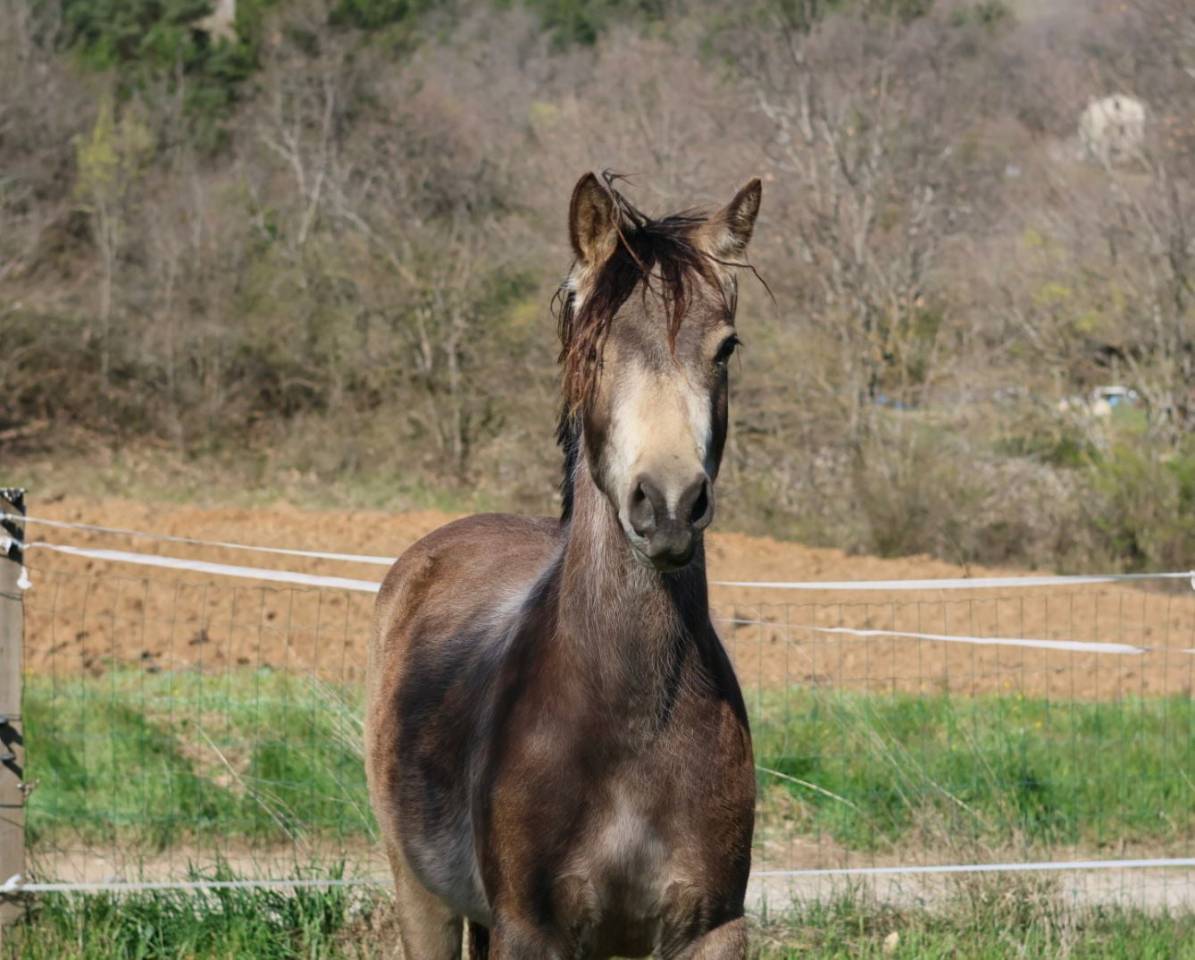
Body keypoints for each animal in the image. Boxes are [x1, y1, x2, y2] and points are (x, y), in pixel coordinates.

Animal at [365, 172, 762, 960]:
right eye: (594, 346)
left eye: (725, 348)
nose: (668, 504)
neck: (630, 726)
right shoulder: (530, 930)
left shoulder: (711, 930)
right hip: (421, 895)